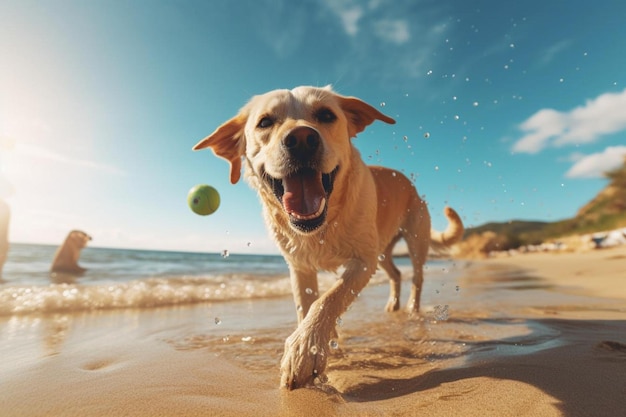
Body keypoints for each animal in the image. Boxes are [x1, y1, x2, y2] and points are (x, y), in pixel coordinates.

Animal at [193, 86, 460, 388]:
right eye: (265, 122)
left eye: (326, 115)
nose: (301, 139)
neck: (323, 224)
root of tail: (410, 183)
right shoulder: (300, 267)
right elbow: (306, 304)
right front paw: (321, 343)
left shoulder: (362, 261)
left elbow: (328, 299)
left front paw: (305, 350)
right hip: (381, 250)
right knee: (396, 274)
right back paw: (393, 306)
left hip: (414, 240)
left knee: (416, 277)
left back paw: (413, 310)